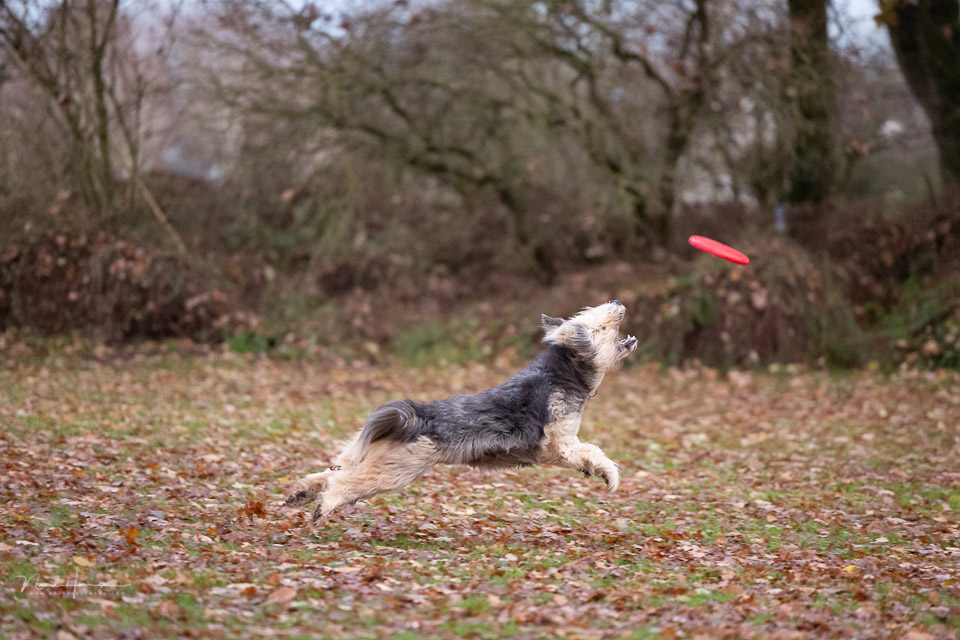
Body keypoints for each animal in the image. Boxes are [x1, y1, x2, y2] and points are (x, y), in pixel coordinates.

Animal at [284, 302, 636, 528]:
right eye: (599, 323)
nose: (618, 302)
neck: (561, 373)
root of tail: (418, 415)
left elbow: (589, 454)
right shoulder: (559, 444)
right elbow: (594, 452)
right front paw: (609, 475)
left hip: (377, 456)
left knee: (333, 473)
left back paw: (301, 493)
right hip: (397, 468)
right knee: (343, 483)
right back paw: (323, 506)